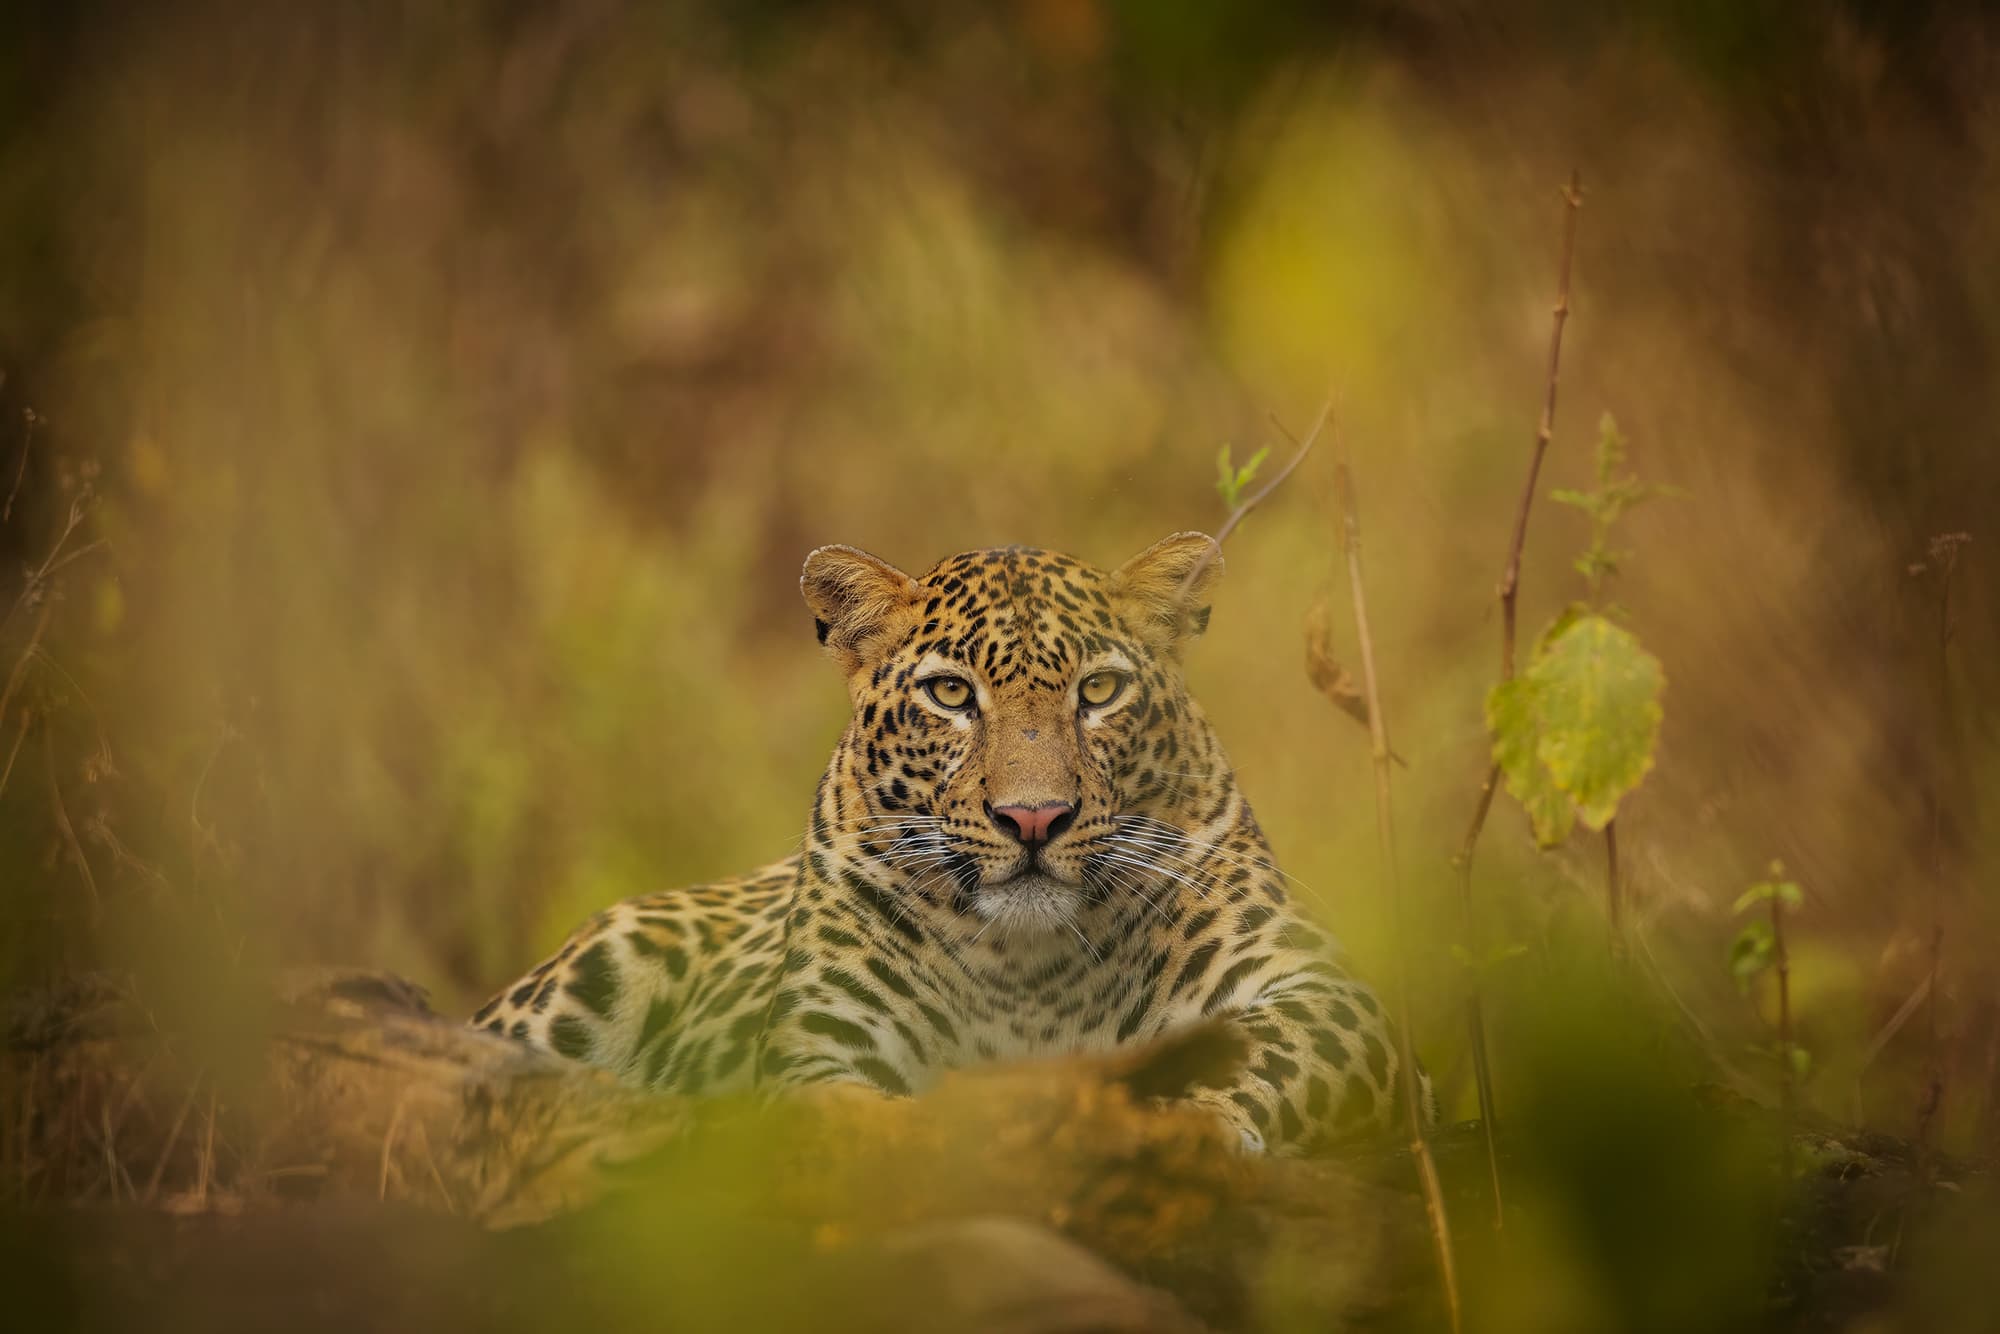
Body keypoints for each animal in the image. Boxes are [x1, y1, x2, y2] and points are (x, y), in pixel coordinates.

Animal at [474, 536, 1432, 1152]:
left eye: (1100, 690)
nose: (1034, 818)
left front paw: (1178, 1131)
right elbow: (842, 1117)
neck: (1031, 973)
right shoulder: (825, 1039)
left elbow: (1262, 1058)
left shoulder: (1321, 989)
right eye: (950, 694)